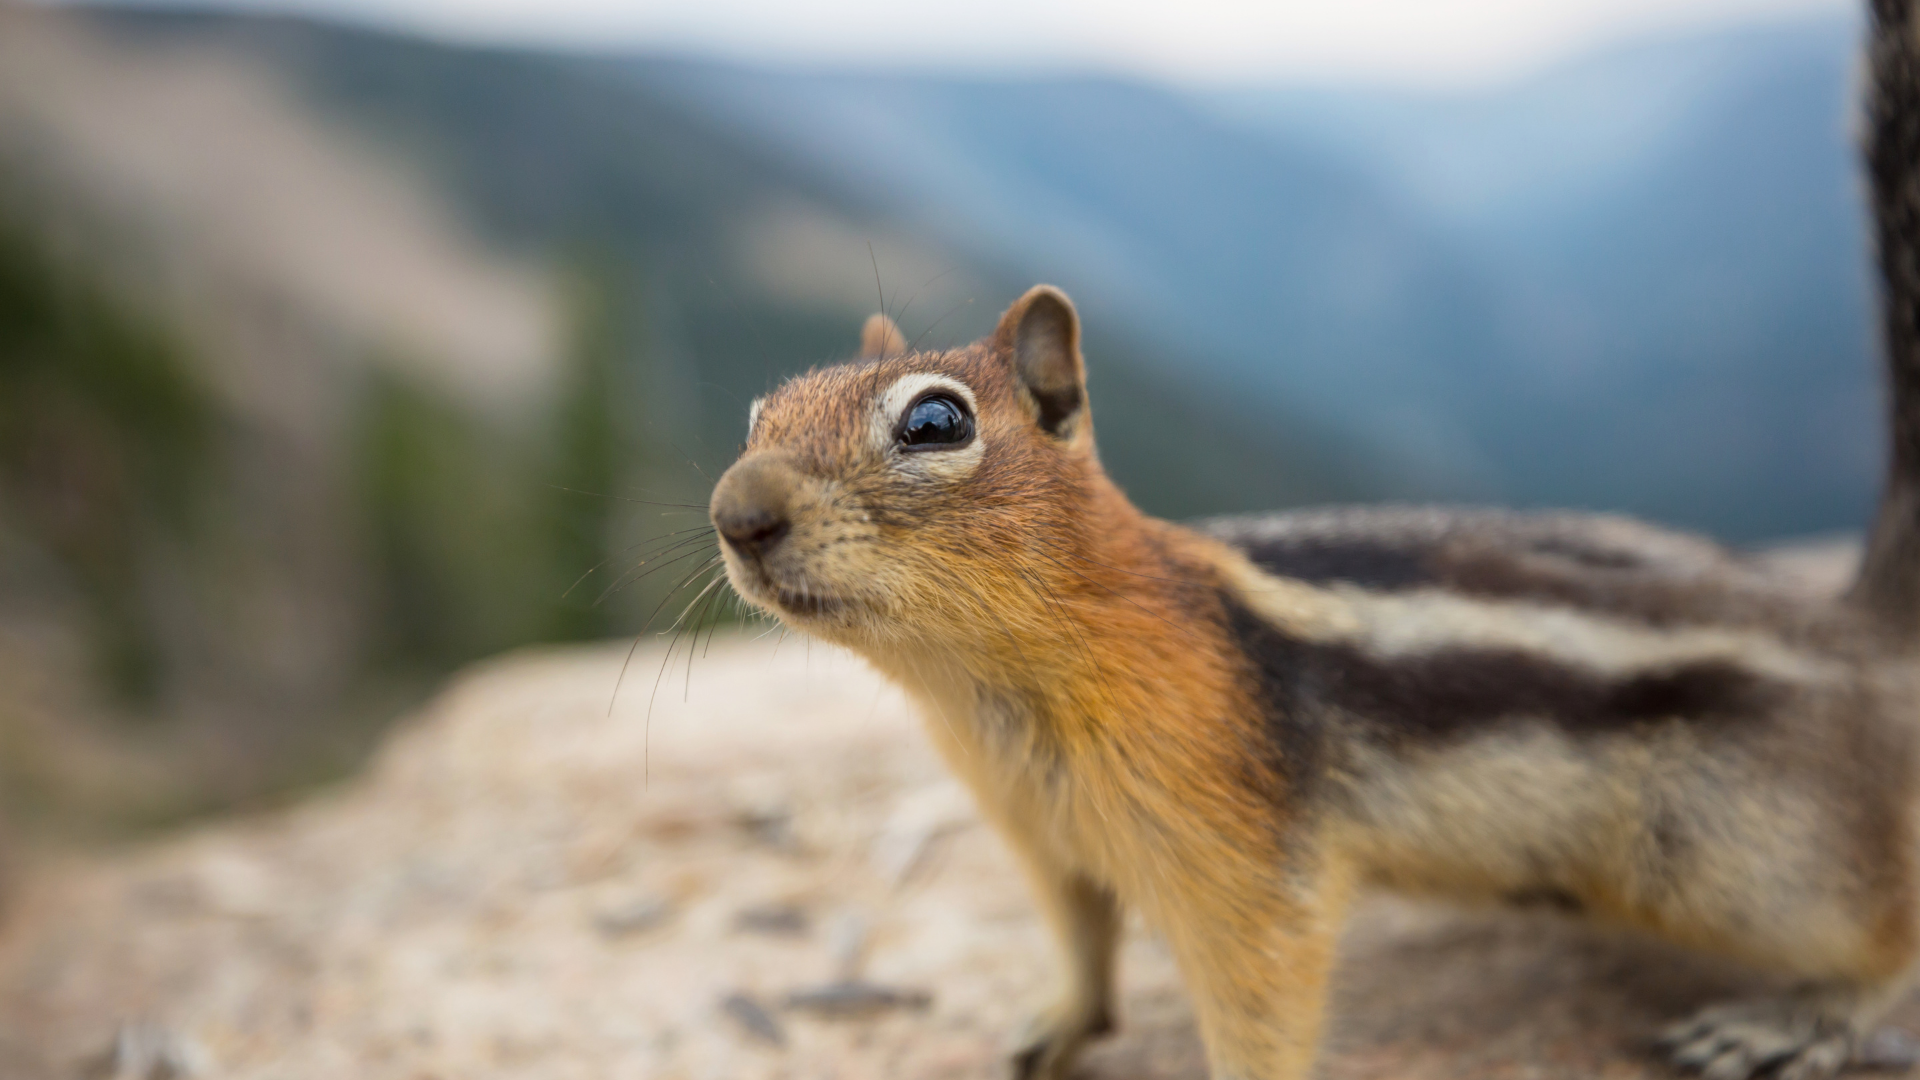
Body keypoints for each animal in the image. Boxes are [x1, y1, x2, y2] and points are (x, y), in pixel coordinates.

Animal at [708, 4, 1920, 1077]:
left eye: (936, 423)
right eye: (757, 413)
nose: (736, 514)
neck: (991, 690)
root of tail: (1857, 636)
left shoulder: (1239, 861)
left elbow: (1262, 994)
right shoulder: (1046, 841)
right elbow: (1083, 943)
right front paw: (1055, 1024)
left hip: (1749, 859)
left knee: (1883, 927)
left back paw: (1796, 1017)